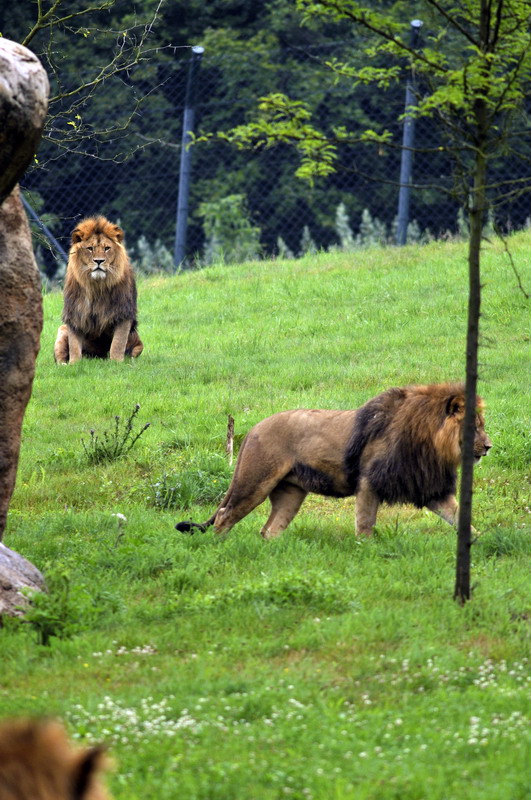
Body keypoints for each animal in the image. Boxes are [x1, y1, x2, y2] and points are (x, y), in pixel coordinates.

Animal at [54, 216, 143, 364]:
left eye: (107, 248)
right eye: (90, 248)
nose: (99, 261)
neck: (96, 286)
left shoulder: (123, 313)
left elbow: (118, 343)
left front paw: (116, 362)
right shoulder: (75, 313)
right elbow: (74, 345)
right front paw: (74, 364)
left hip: (138, 343)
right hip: (62, 329)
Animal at [176, 383, 491, 538]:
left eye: (482, 425)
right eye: (474, 427)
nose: (489, 446)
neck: (432, 446)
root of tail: (253, 428)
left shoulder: (430, 488)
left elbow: (461, 518)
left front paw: (480, 541)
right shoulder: (369, 483)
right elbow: (365, 524)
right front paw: (366, 549)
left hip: (290, 492)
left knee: (269, 530)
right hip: (254, 482)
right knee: (224, 516)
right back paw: (220, 549)